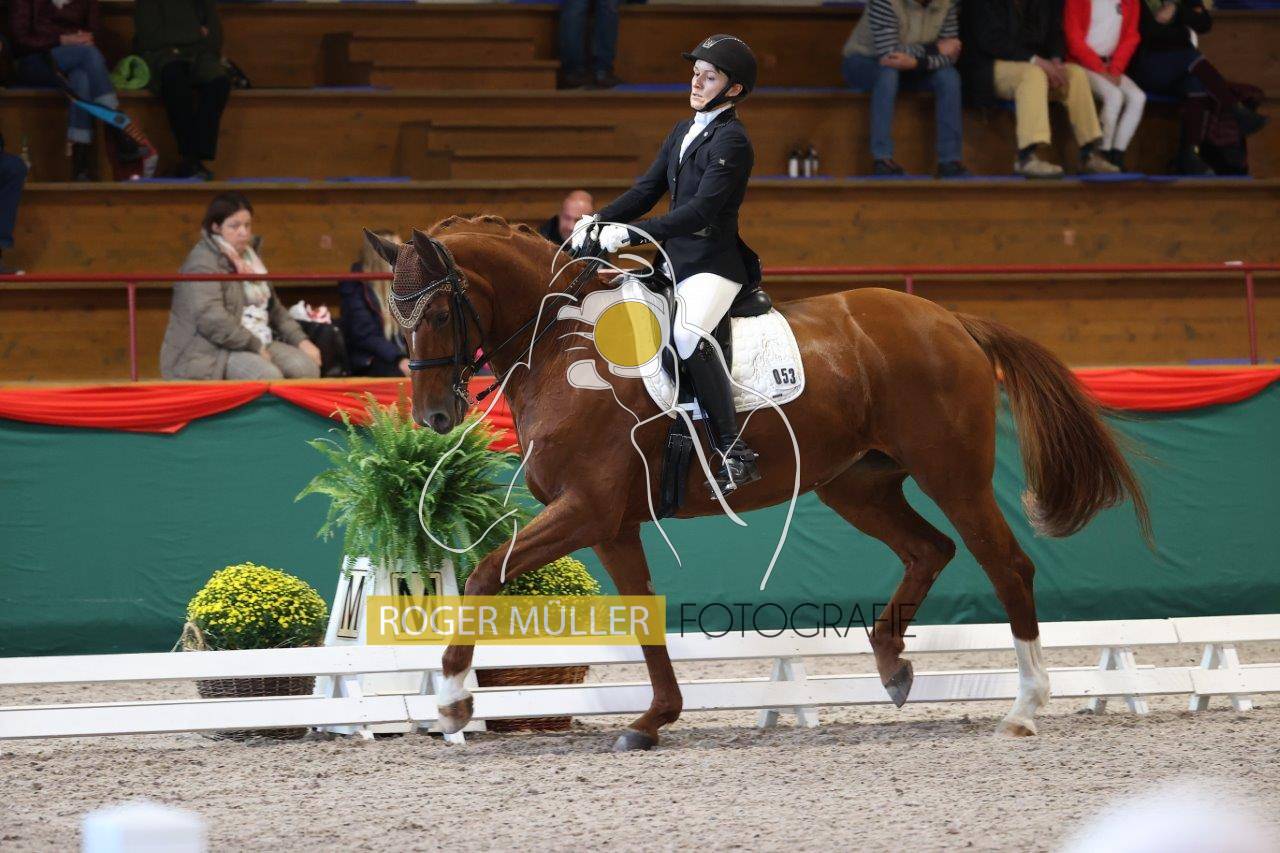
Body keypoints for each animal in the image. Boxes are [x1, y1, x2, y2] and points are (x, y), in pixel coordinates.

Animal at [364, 215, 1150, 751]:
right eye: (394, 314)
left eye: (438, 311)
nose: (434, 416)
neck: (564, 343)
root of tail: (948, 318)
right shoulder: (612, 522)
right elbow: (643, 611)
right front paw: (654, 719)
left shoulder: (584, 509)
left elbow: (485, 573)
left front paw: (453, 701)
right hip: (856, 485)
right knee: (930, 550)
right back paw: (891, 665)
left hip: (952, 474)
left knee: (1005, 564)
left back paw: (1024, 707)